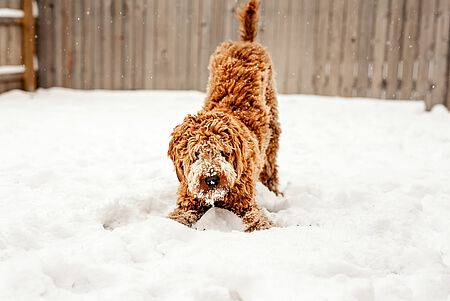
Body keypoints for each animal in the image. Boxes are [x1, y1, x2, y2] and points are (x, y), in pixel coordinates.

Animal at [168, 0, 282, 231]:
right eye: (196, 154)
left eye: (223, 152)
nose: (212, 178)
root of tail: (245, 42)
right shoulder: (188, 199)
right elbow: (178, 216)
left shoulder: (245, 201)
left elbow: (257, 218)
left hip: (273, 129)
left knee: (270, 166)